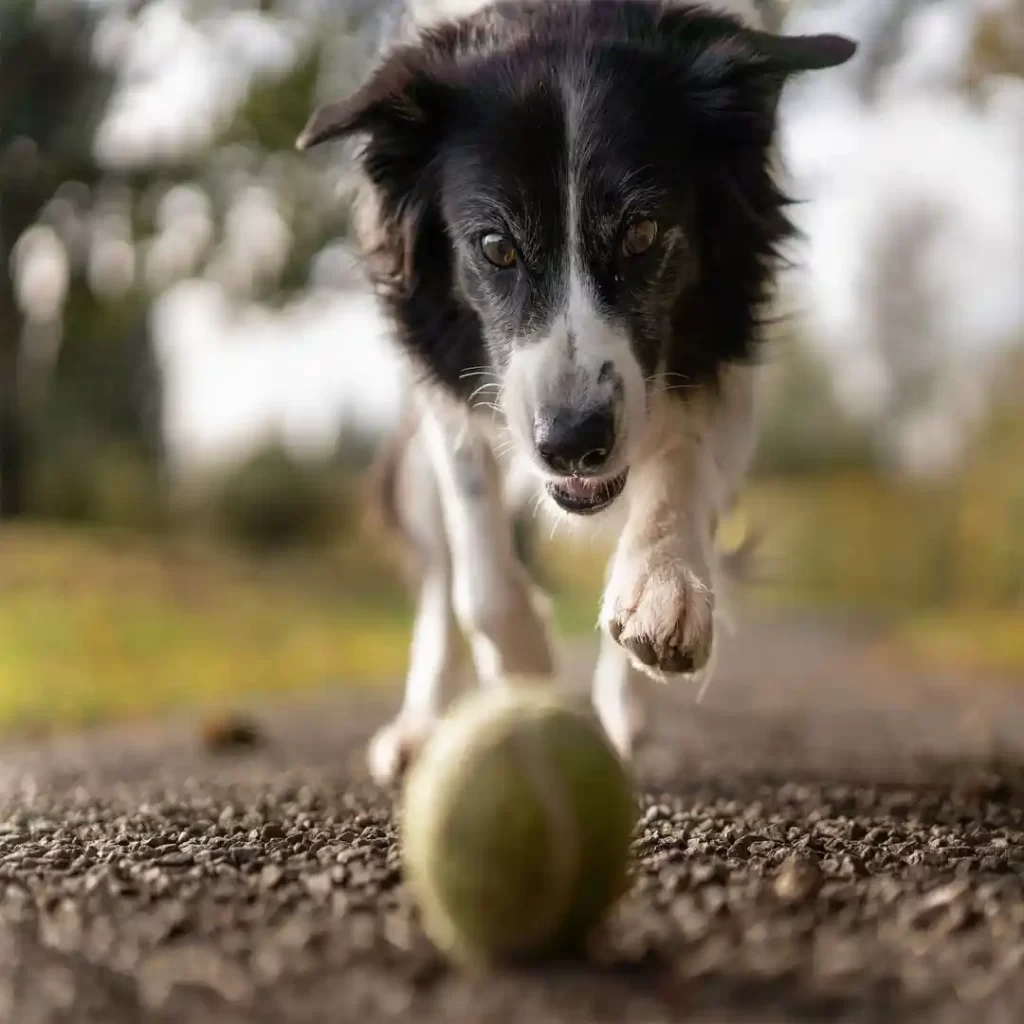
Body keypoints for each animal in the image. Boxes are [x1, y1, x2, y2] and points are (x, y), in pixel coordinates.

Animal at [294, 2, 856, 782]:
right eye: (495, 246)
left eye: (643, 232)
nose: (571, 445)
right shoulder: (450, 390)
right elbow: (479, 576)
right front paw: (527, 674)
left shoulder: (725, 354)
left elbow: (681, 463)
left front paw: (662, 588)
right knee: (439, 578)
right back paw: (419, 728)